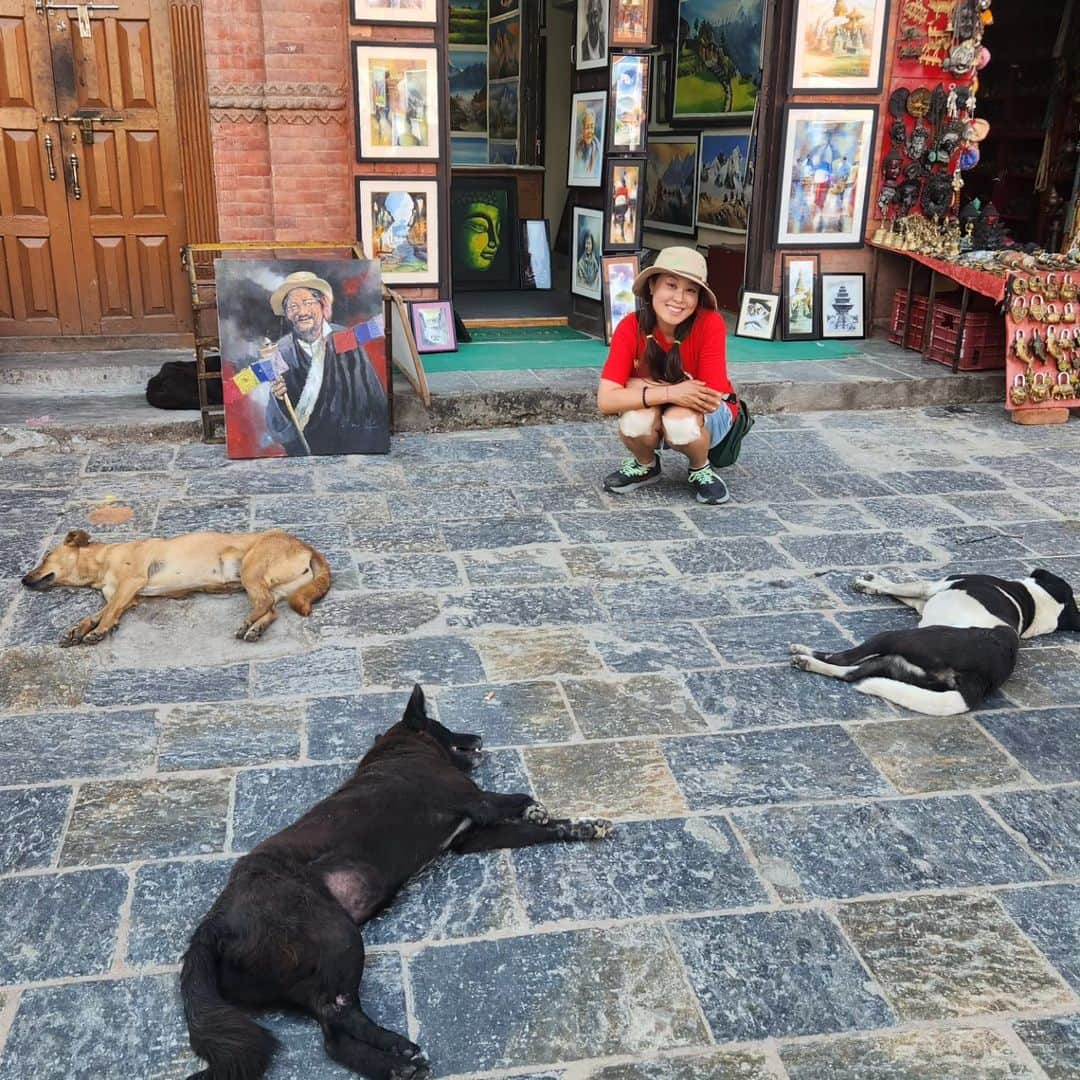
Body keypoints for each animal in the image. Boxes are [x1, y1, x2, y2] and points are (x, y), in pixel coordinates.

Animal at [21, 529, 328, 643]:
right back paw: (256, 628)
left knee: (264, 604)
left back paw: (247, 625)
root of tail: (306, 546)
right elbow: (100, 613)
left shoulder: (131, 583)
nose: (23, 580)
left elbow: (107, 613)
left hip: (250, 570)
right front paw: (80, 628)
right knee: (271, 609)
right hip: (267, 584)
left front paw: (100, 631)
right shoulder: (127, 597)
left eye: (45, 558)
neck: (102, 560)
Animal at [181, 686, 613, 1075]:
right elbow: (518, 799)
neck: (401, 750)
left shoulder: (472, 837)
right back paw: (399, 1049)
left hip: (310, 970)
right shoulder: (478, 802)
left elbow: (539, 831)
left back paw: (393, 1065)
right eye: (443, 725)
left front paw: (582, 826)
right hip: (337, 935)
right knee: (338, 1015)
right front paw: (536, 808)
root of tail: (213, 924)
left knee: (332, 1038)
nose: (478, 736)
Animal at [790, 570, 1075, 712]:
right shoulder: (923, 600)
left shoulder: (934, 587)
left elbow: (903, 587)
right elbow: (904, 594)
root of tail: (981, 675)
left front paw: (871, 583)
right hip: (897, 666)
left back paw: (806, 652)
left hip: (896, 637)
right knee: (851, 673)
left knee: (844, 658)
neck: (1034, 603)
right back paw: (808, 662)